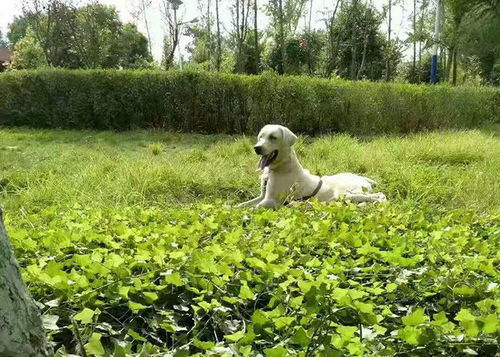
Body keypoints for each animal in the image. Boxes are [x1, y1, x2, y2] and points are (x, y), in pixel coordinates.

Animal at [238, 125, 386, 209]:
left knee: (379, 195)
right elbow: (242, 204)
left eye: (273, 137)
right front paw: (235, 206)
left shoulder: (269, 201)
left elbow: (252, 209)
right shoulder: (263, 196)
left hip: (346, 194)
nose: (256, 148)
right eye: (260, 137)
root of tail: (363, 179)